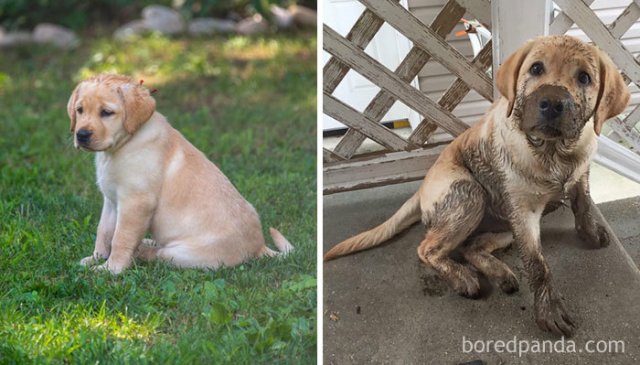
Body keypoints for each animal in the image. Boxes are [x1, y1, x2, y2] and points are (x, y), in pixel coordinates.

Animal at [67, 73, 292, 272]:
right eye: (80, 110)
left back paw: (142, 250)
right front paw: (95, 258)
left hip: (184, 254)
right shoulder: (111, 200)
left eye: (106, 112)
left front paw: (110, 268)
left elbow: (121, 237)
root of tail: (259, 246)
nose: (81, 135)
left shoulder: (136, 202)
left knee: (159, 254)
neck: (121, 146)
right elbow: (104, 231)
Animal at [324, 35, 632, 334]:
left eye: (584, 77)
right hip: (470, 195)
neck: (554, 152)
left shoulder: (580, 175)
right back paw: (463, 278)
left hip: (506, 225)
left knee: (472, 247)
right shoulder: (525, 213)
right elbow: (537, 265)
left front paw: (590, 233)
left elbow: (583, 205)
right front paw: (550, 311)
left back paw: (500, 274)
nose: (553, 103)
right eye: (536, 68)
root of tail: (421, 190)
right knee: (428, 249)